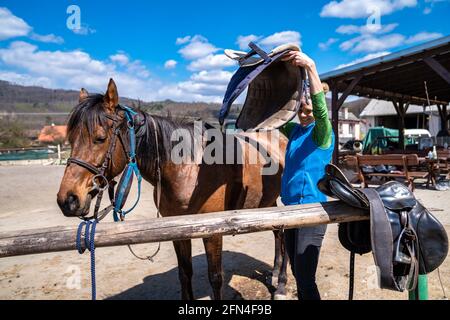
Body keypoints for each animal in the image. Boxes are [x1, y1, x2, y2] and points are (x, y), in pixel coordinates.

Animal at [57, 79, 288, 300]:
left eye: (100, 138)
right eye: (71, 139)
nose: (68, 200)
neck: (189, 170)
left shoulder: (213, 233)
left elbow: (215, 278)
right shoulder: (178, 231)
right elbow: (184, 274)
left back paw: (282, 284)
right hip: (269, 202)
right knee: (278, 232)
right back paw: (276, 273)